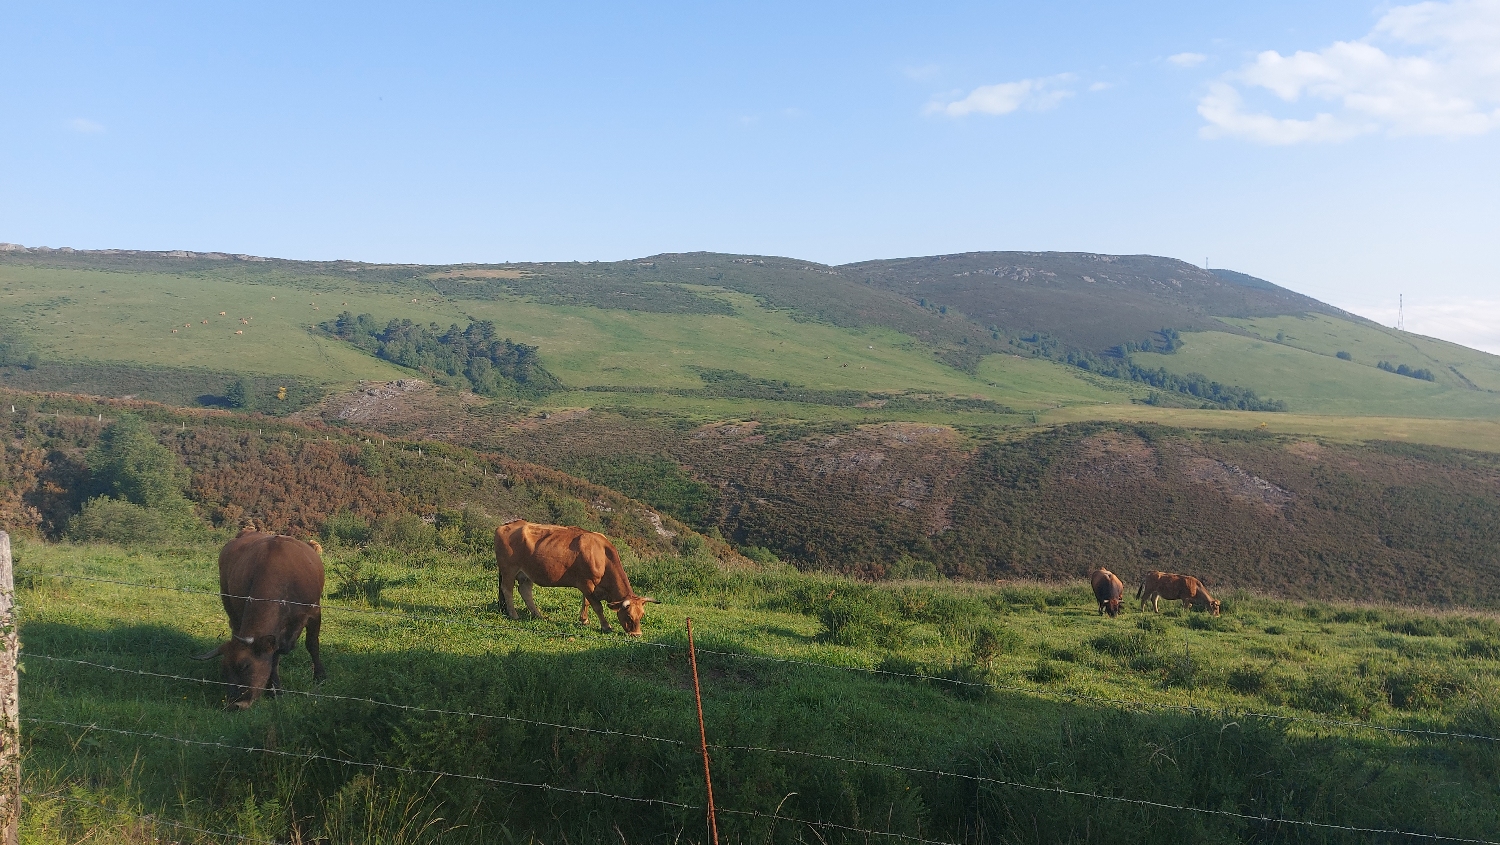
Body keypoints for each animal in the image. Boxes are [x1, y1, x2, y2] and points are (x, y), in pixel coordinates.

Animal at [193, 528, 325, 708]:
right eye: (224, 671)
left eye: (245, 666)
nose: (235, 704)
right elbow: (273, 658)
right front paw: (275, 689)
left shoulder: (314, 612)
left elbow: (312, 644)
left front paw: (320, 677)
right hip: (227, 600)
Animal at [495, 519, 654, 639]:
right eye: (628, 615)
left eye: (642, 615)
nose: (637, 634)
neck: (603, 556)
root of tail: (506, 525)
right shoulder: (586, 584)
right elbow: (597, 606)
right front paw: (606, 626)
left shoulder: (589, 586)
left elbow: (586, 602)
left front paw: (584, 620)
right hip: (509, 569)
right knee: (507, 590)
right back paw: (514, 615)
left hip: (526, 574)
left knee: (525, 591)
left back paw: (538, 615)